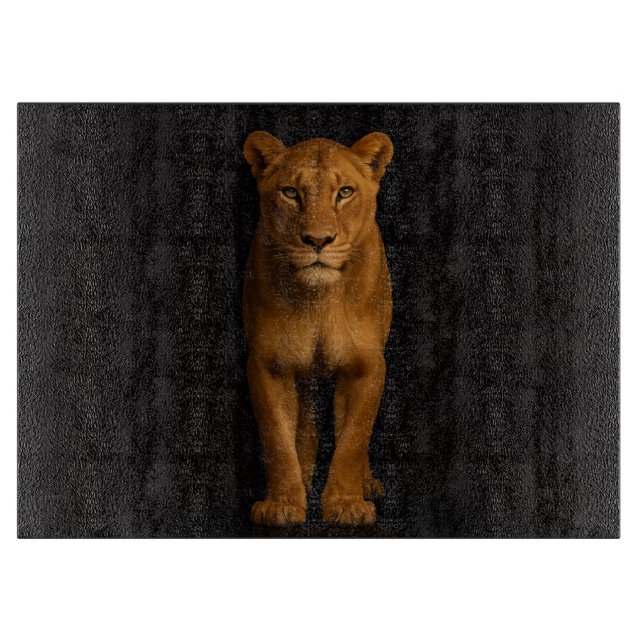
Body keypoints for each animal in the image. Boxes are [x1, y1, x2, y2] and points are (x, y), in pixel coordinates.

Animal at [242, 130, 394, 526]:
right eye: (290, 192)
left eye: (345, 192)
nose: (318, 240)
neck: (318, 301)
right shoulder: (268, 364)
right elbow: (278, 438)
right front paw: (282, 505)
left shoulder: (368, 365)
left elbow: (353, 439)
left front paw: (347, 504)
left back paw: (365, 484)